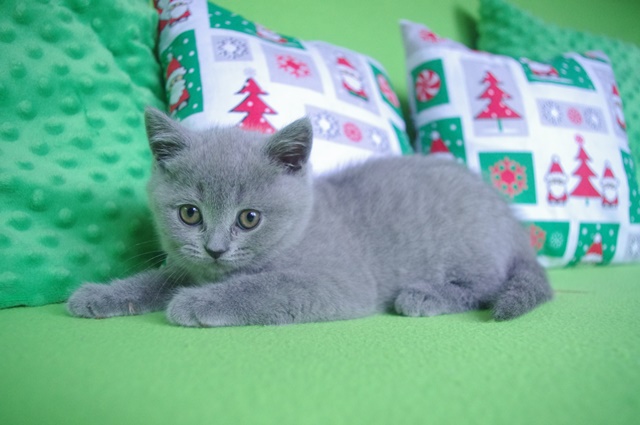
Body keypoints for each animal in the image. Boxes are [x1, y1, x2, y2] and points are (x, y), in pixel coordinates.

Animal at [67, 107, 553, 327]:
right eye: (189, 214)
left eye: (249, 218)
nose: (215, 249)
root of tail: (512, 222)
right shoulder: (188, 265)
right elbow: (157, 279)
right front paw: (101, 295)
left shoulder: (340, 282)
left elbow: (267, 287)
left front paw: (198, 303)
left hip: (469, 249)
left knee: (487, 286)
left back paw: (425, 296)